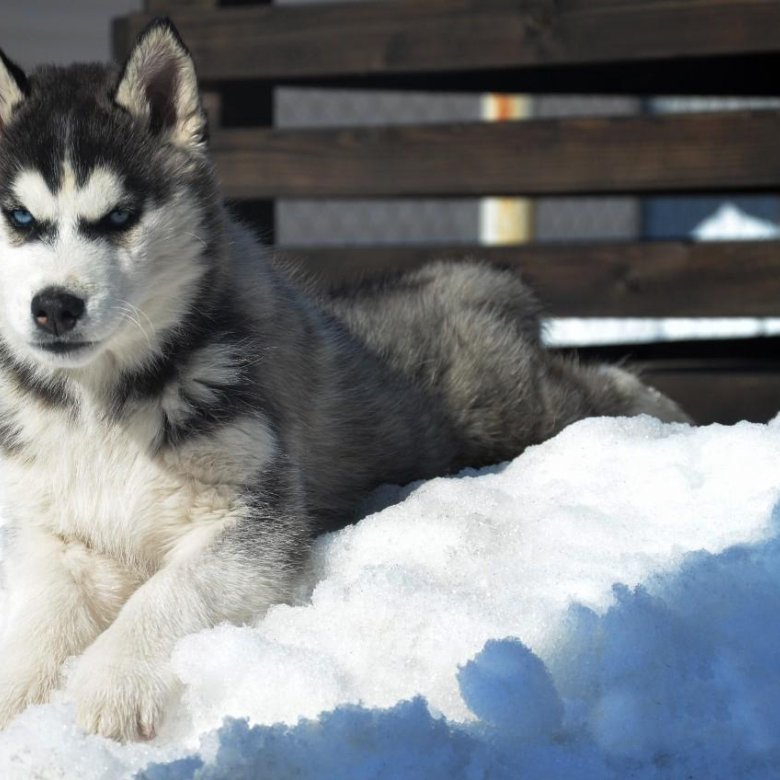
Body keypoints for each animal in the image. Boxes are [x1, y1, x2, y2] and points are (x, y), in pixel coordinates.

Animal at [0, 16, 688, 736]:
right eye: (20, 218)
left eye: (119, 217)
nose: (54, 306)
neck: (102, 404)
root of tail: (459, 278)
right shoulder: (63, 536)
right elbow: (40, 625)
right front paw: (21, 696)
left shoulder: (253, 526)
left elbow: (167, 595)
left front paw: (115, 681)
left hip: (512, 408)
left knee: (594, 385)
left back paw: (660, 409)